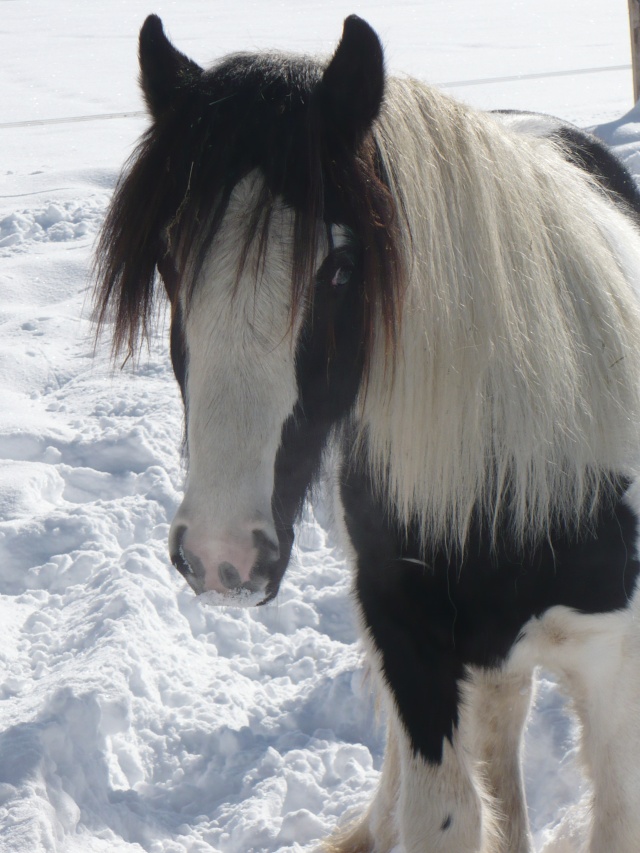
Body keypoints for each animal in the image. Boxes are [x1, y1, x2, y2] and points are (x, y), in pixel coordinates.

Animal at [94, 16, 640, 852]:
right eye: (168, 258)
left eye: (343, 267)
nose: (220, 555)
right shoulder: (408, 640)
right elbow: (443, 810)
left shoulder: (616, 671)